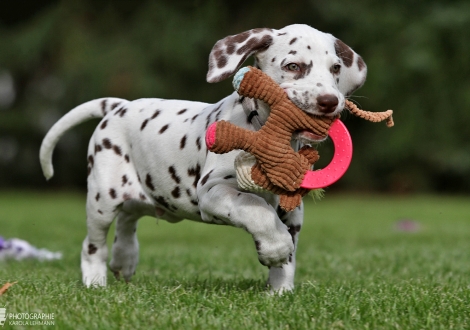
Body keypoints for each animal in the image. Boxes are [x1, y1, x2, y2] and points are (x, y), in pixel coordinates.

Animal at [39, 24, 368, 292]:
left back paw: (124, 260)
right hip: (102, 199)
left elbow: (289, 250)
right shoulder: (213, 192)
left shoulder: (293, 209)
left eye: (335, 68)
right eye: (294, 66)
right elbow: (258, 210)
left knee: (128, 220)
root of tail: (119, 106)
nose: (330, 102)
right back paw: (95, 281)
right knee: (93, 244)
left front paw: (280, 290)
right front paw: (275, 248)